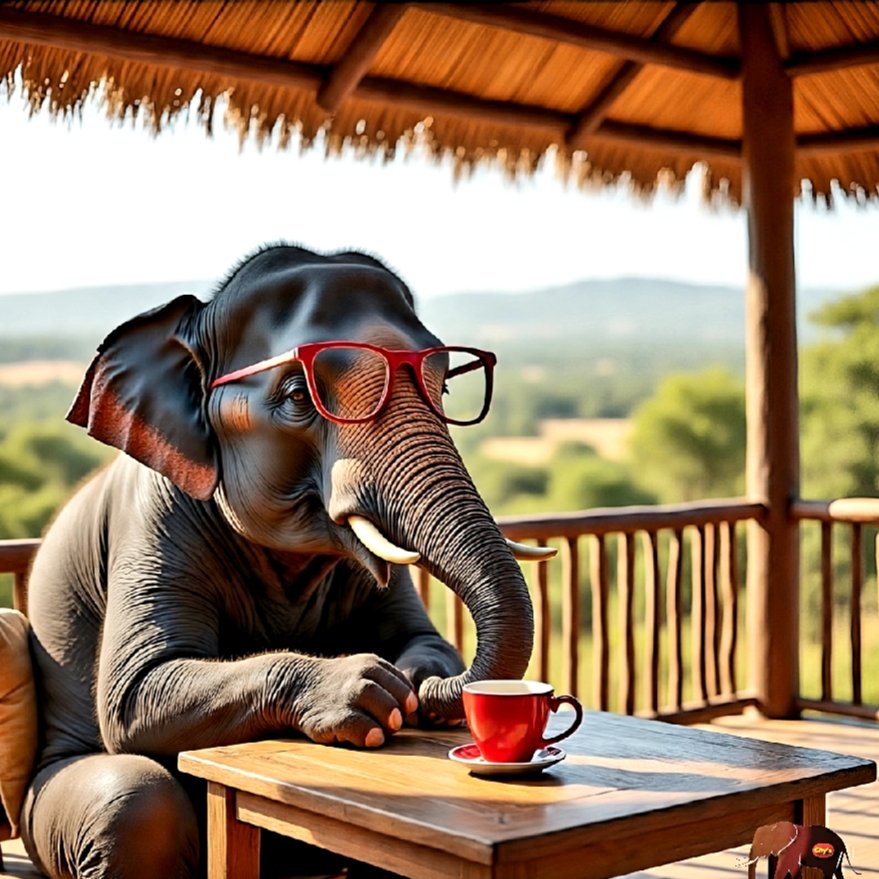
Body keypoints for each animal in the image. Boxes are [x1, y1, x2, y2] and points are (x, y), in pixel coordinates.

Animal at [19, 244, 547, 879]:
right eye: (299, 396)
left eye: (443, 391)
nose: (419, 702)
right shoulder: (150, 518)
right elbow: (136, 689)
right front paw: (375, 691)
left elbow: (419, 633)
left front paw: (419, 682)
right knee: (133, 807)